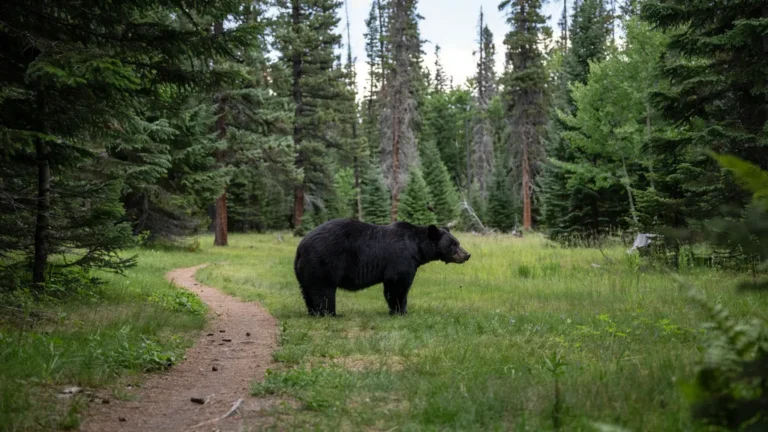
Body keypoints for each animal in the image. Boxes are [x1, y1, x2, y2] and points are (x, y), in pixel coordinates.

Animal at [293, 218, 471, 316]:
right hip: (324, 262)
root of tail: (301, 247)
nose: (467, 254)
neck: (417, 249)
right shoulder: (400, 258)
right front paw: (399, 311)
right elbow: (397, 285)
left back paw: (313, 312)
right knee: (323, 290)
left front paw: (402, 310)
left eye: (458, 242)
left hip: (304, 270)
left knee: (307, 291)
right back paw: (330, 313)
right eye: (453, 245)